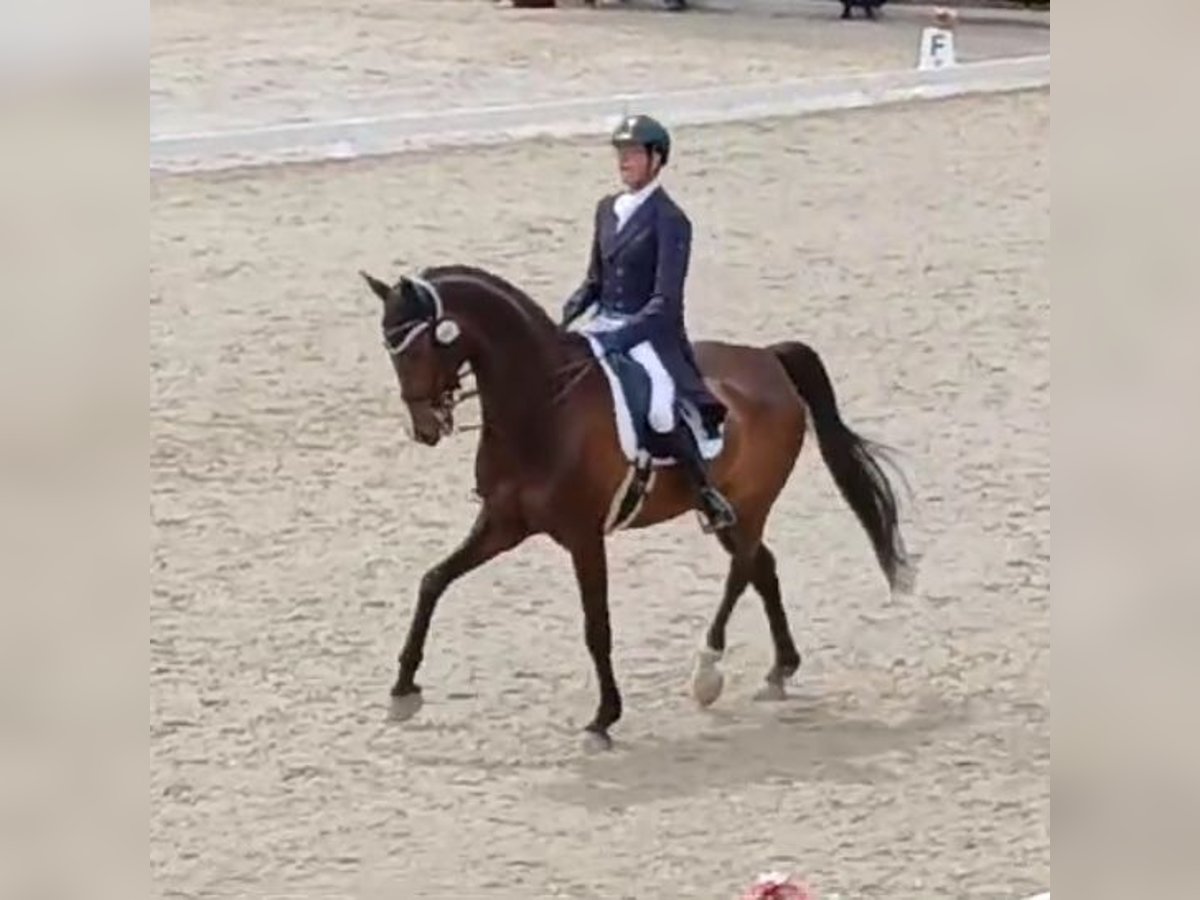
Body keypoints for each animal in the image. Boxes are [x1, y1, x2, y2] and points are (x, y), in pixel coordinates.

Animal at [360, 264, 912, 748]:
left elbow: (596, 626)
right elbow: (433, 581)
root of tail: (769, 358)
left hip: (753, 500)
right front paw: (402, 692)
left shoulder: (584, 537)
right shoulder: (503, 523)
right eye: (389, 348)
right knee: (762, 566)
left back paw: (707, 672)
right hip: (727, 508)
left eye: (420, 346)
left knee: (741, 570)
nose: (425, 429)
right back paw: (780, 669)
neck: (542, 411)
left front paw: (603, 719)